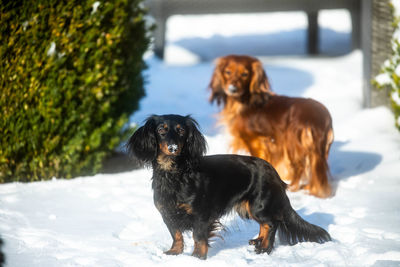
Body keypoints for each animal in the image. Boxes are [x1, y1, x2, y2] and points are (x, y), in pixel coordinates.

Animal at [127, 114, 332, 260]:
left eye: (181, 131)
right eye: (161, 130)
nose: (172, 148)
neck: (175, 173)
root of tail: (274, 172)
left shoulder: (201, 215)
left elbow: (198, 237)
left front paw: (197, 257)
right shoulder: (167, 213)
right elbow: (176, 234)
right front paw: (174, 252)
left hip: (258, 206)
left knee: (272, 223)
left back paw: (265, 248)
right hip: (248, 208)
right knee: (265, 224)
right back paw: (258, 241)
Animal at [209, 55, 334, 199]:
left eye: (245, 74)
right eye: (227, 72)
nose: (232, 89)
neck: (246, 101)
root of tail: (317, 119)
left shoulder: (255, 141)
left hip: (292, 146)